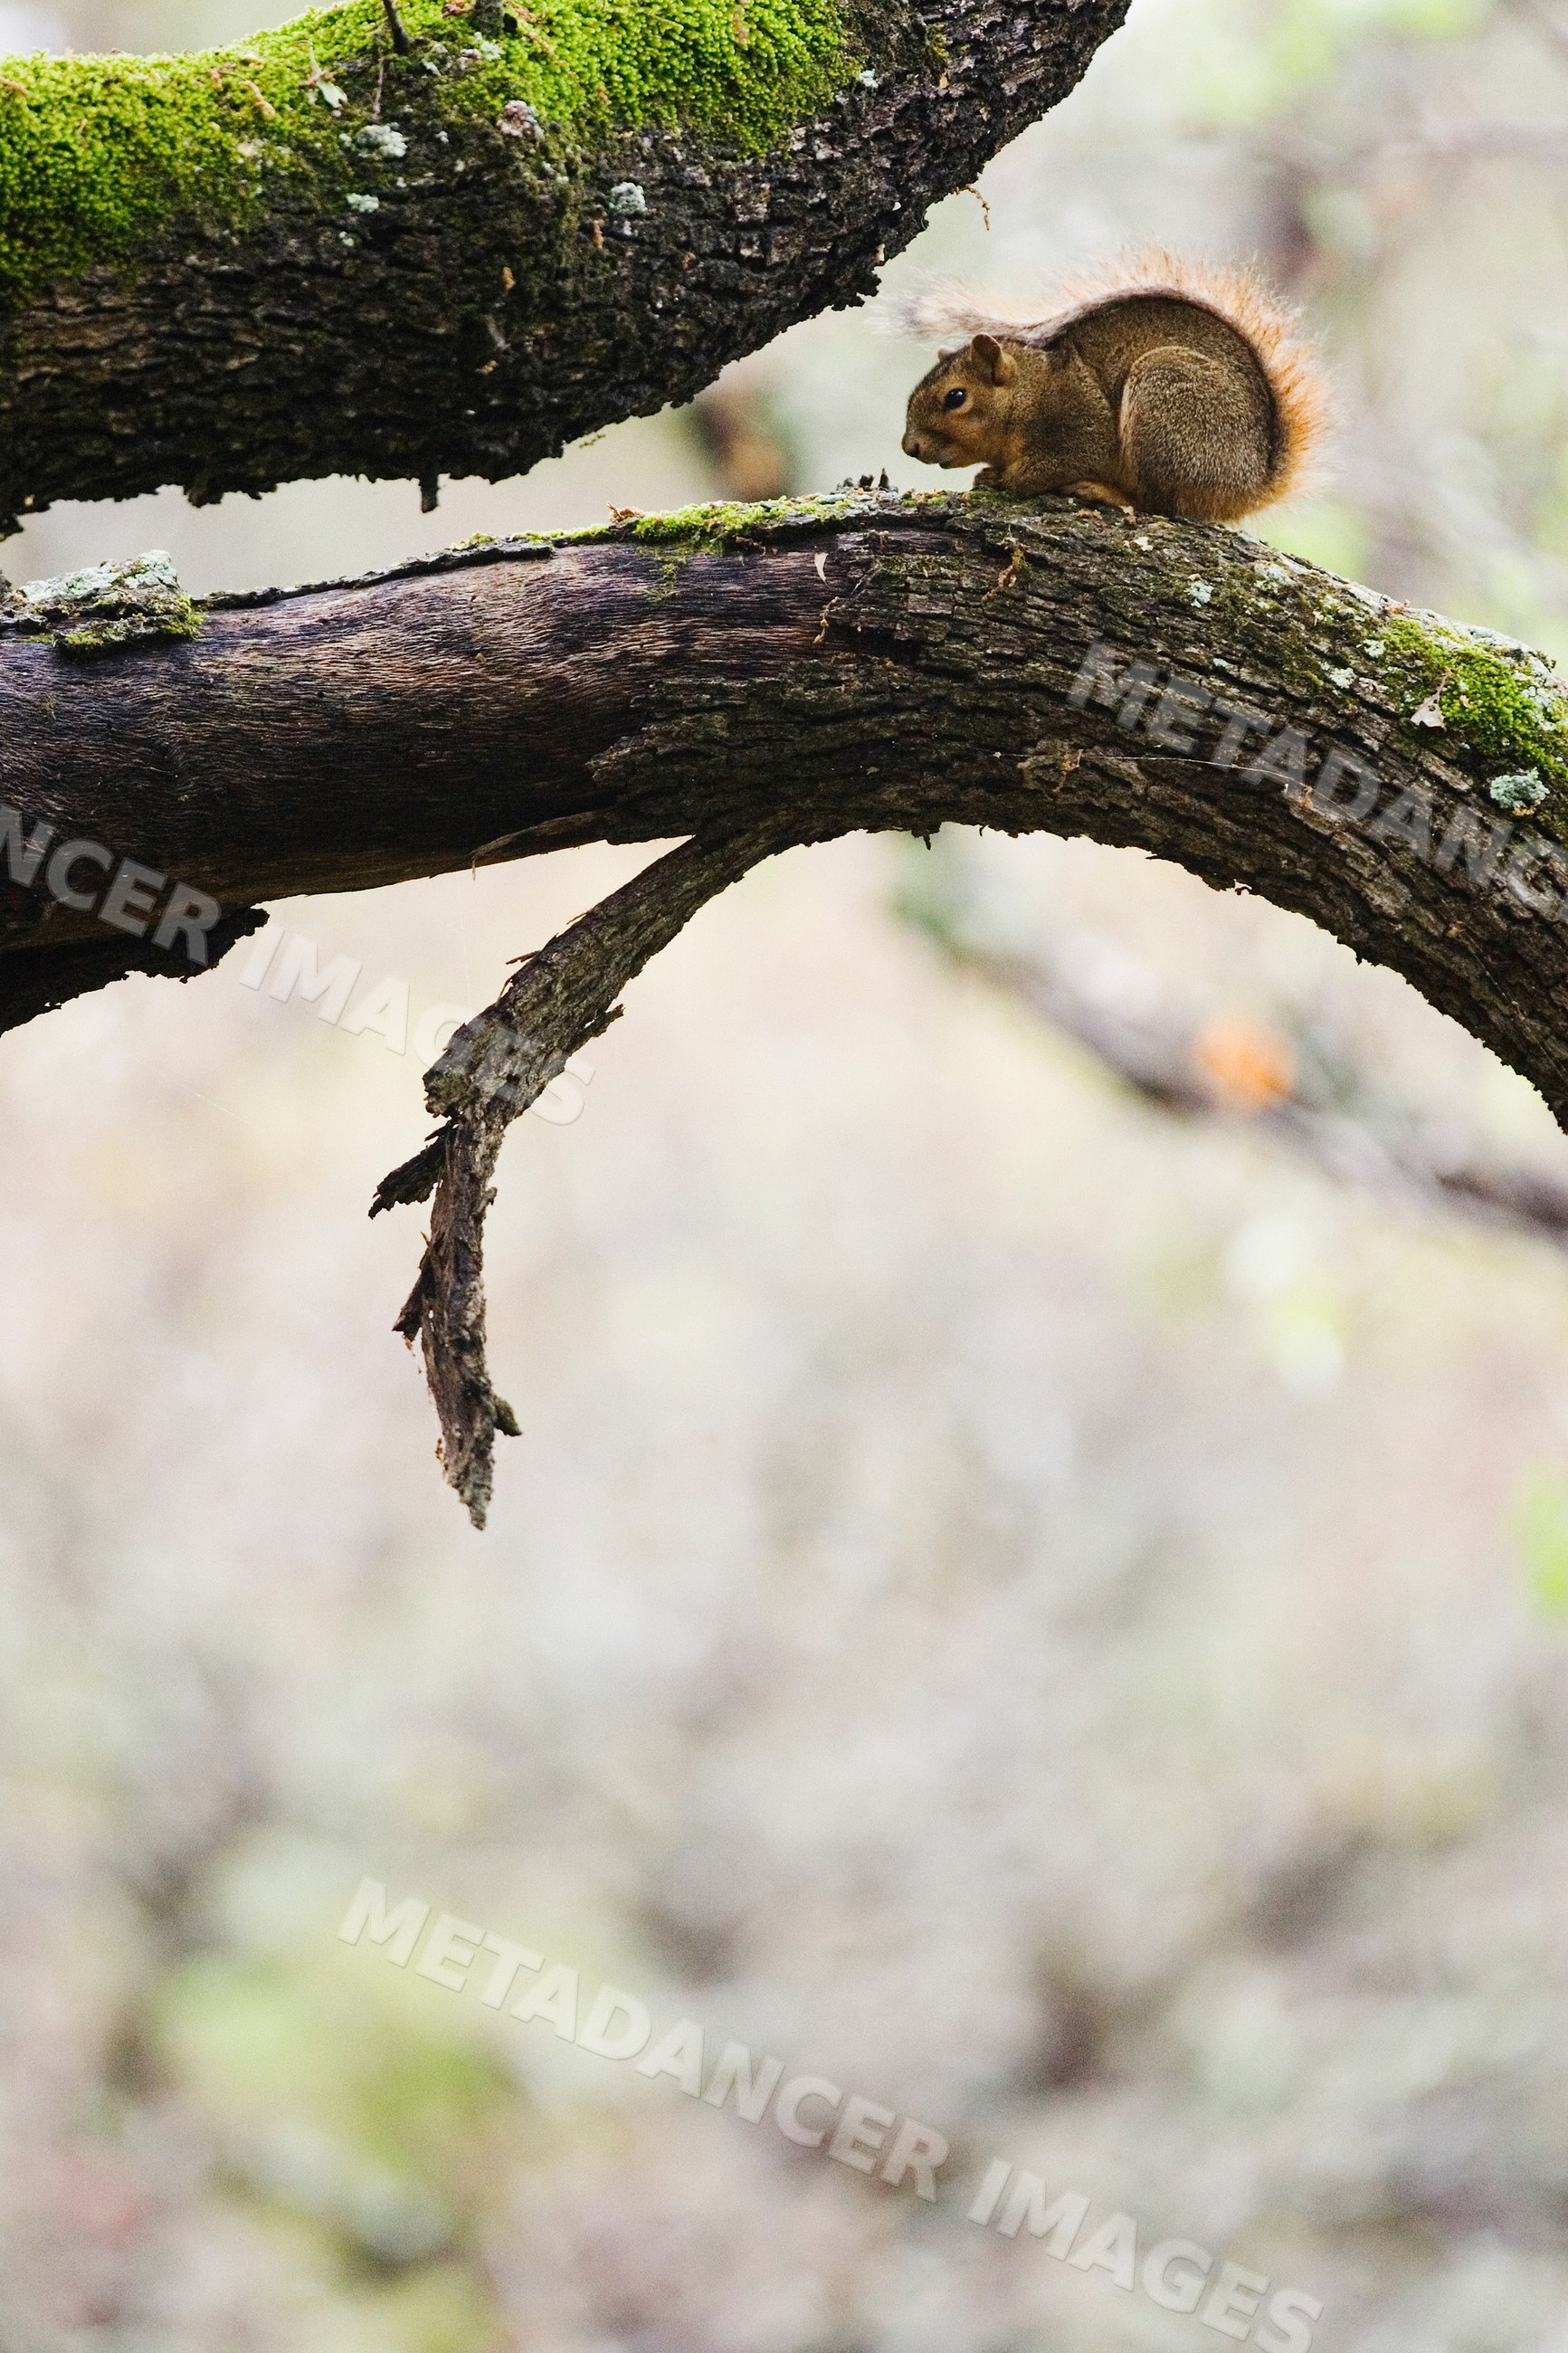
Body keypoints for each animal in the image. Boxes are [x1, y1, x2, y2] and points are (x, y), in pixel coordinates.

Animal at [898, 252, 1327, 523]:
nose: (909, 447)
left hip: (1166, 406)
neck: (1029, 391)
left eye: (956, 397)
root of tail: (1253, 482)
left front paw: (1003, 479)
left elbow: (1056, 463)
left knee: (1159, 505)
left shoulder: (1080, 419)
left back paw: (1105, 493)